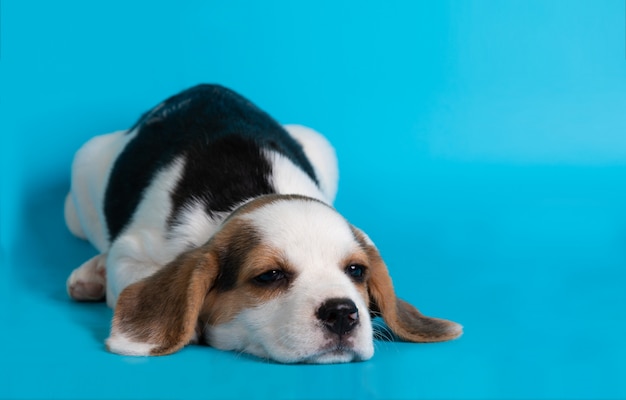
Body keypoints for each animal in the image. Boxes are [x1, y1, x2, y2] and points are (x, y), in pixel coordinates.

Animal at [66, 84, 460, 362]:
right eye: (269, 276)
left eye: (356, 271)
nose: (342, 313)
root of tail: (202, 88)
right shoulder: (131, 252)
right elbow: (130, 271)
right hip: (83, 168)